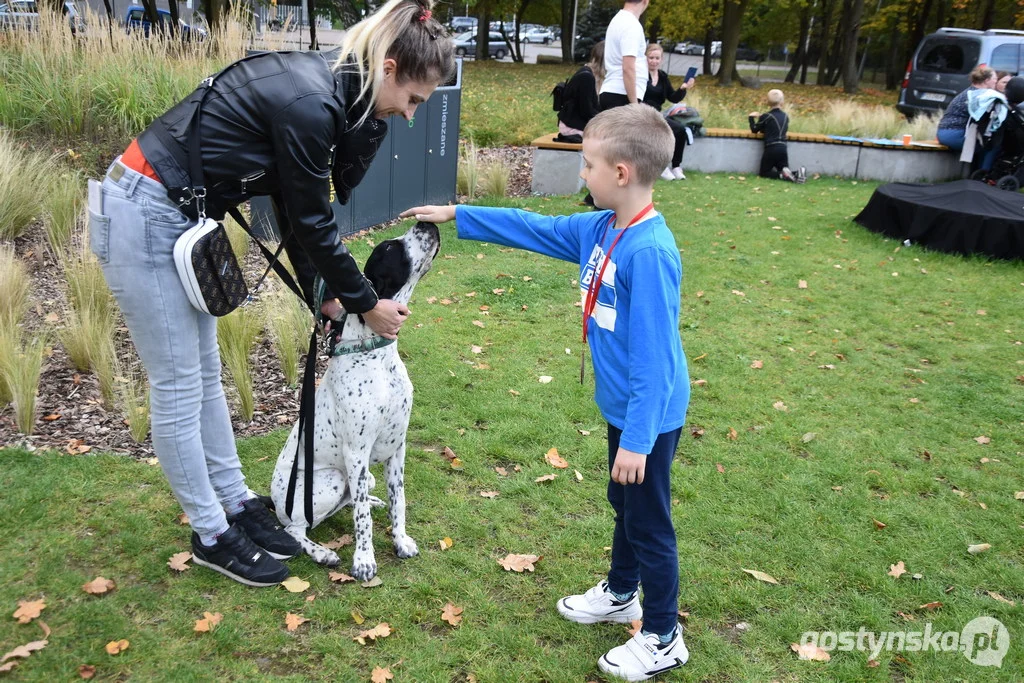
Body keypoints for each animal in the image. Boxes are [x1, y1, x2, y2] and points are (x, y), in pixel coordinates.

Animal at [274, 222, 442, 581]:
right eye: (389, 248)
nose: (427, 223)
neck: (376, 354)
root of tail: (272, 499)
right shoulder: (356, 453)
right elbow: (362, 519)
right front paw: (364, 560)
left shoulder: (397, 446)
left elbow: (398, 499)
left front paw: (401, 539)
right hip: (330, 480)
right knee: (294, 530)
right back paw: (322, 553)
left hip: (362, 476)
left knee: (355, 497)